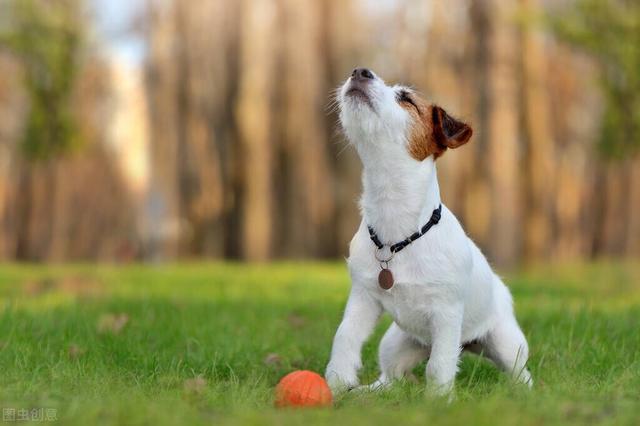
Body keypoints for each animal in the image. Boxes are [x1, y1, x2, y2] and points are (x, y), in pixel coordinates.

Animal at [324, 67, 528, 396]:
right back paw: (370, 392)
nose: (359, 71)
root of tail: (467, 343)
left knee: (521, 372)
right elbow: (345, 337)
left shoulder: (446, 314)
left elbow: (439, 365)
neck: (396, 234)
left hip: (508, 344)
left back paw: (523, 392)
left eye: (406, 98)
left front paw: (438, 399)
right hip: (395, 344)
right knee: (390, 376)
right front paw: (336, 384)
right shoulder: (363, 299)